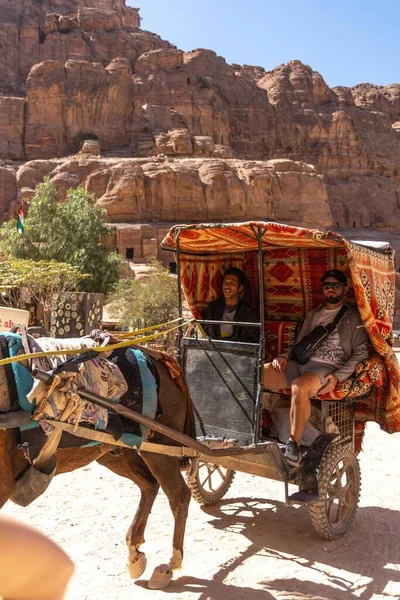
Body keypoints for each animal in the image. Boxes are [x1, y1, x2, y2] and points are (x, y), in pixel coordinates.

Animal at [0, 342, 195, 592]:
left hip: (161, 448)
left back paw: (170, 564)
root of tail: (161, 357)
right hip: (118, 449)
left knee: (179, 496)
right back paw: (135, 552)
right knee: (149, 485)